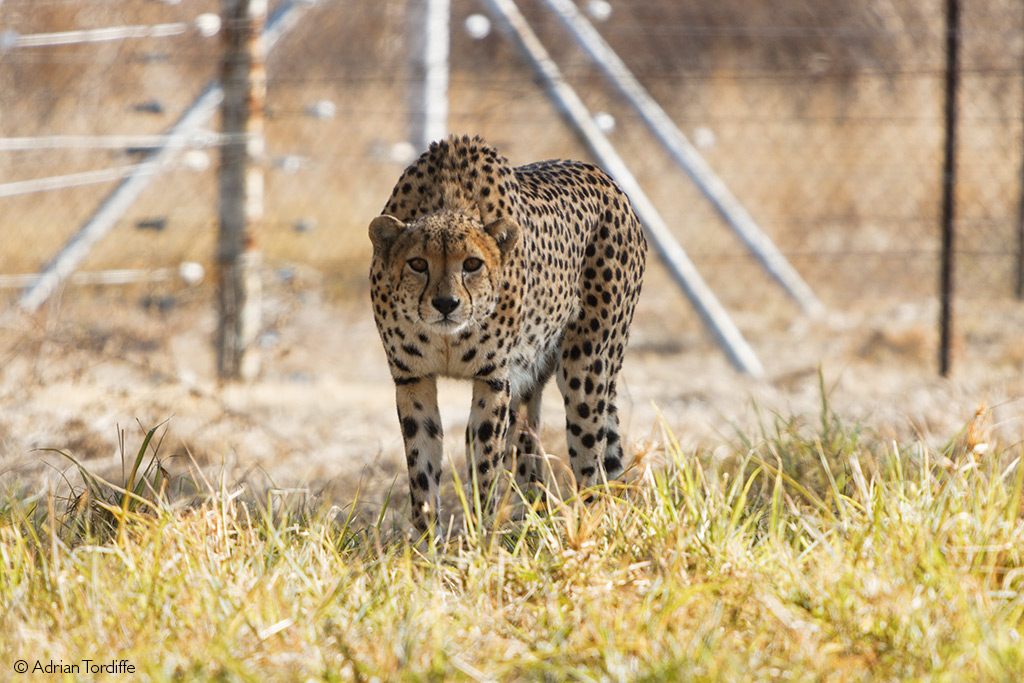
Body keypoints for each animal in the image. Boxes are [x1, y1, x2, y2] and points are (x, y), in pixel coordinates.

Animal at [370, 135, 647, 532]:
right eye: (418, 264)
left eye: (472, 264)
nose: (446, 303)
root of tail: (605, 178)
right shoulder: (413, 379)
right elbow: (422, 468)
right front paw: (427, 543)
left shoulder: (493, 379)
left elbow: (485, 464)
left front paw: (482, 537)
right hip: (530, 377)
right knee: (531, 453)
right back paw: (530, 520)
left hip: (586, 369)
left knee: (590, 461)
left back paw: (587, 526)